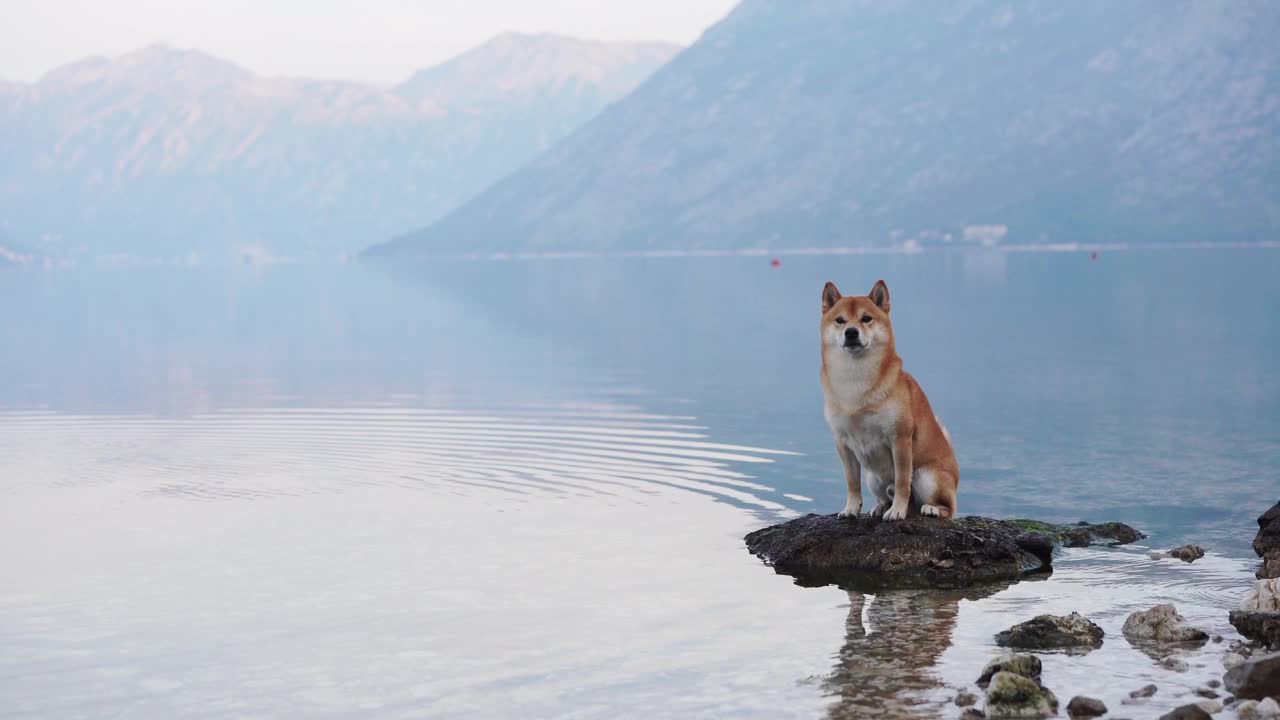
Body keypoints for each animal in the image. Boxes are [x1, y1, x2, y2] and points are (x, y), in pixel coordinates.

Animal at [824, 278, 957, 517]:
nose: (851, 332)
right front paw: (851, 508)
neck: (856, 381)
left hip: (926, 477)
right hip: (874, 479)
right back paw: (880, 506)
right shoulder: (843, 443)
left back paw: (930, 508)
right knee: (885, 493)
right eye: (840, 320)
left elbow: (903, 481)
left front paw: (897, 511)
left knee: (947, 509)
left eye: (866, 318)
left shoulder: (900, 438)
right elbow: (851, 482)